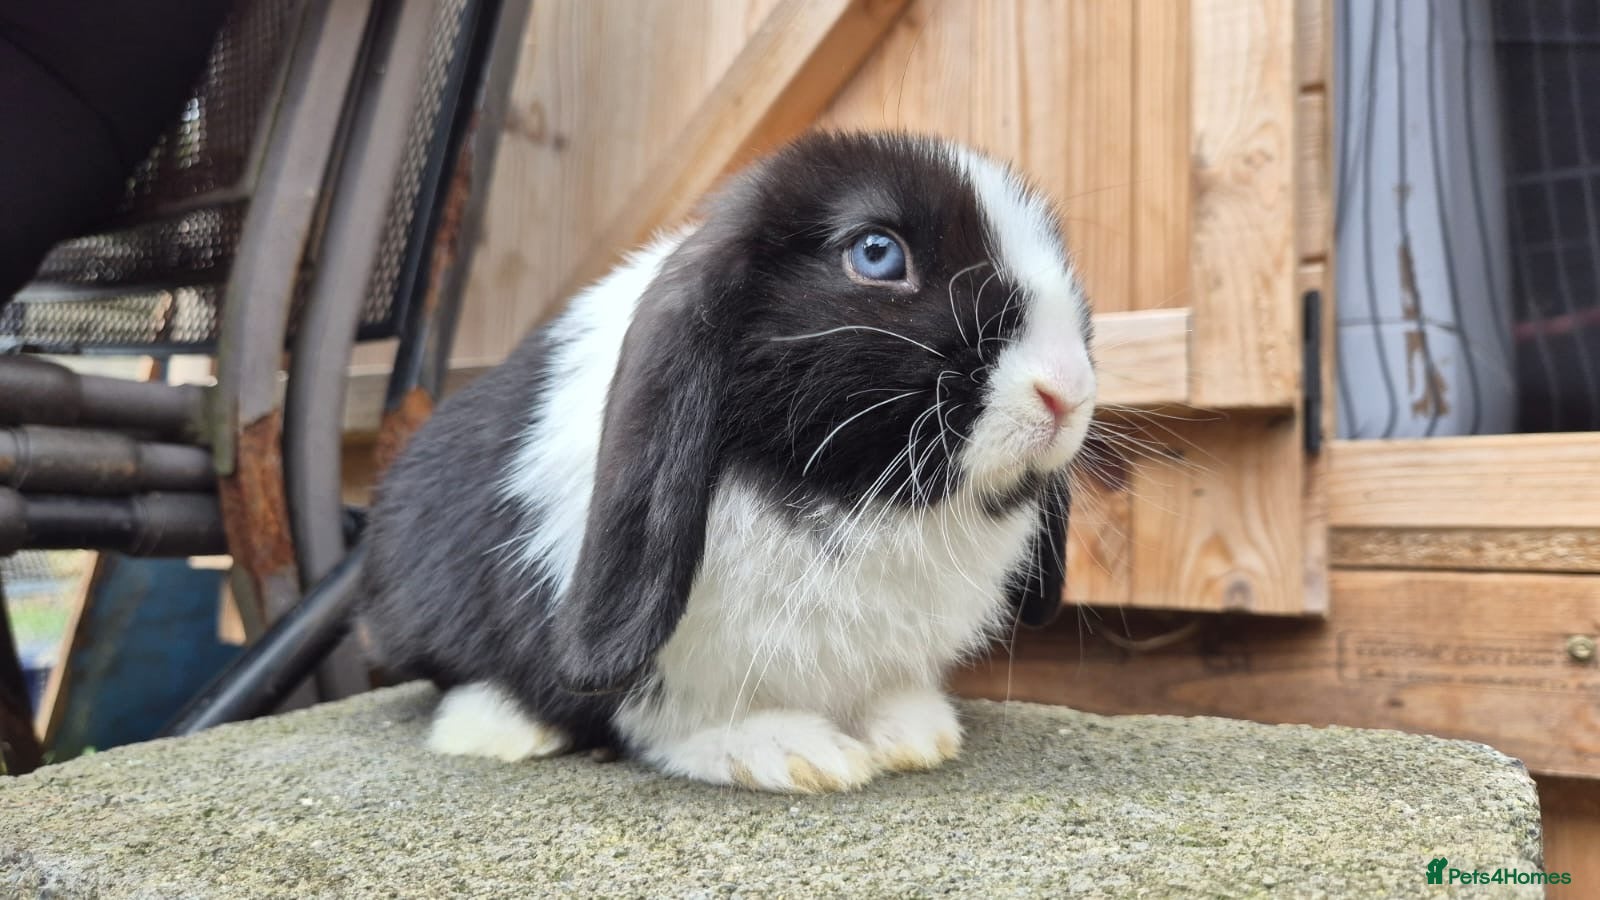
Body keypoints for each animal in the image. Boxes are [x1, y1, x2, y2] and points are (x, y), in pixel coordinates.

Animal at [361, 131, 1097, 794]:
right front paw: (790, 753)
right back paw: (497, 728)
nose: (1065, 391)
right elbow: (686, 715)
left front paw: (914, 734)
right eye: (877, 253)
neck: (855, 493)